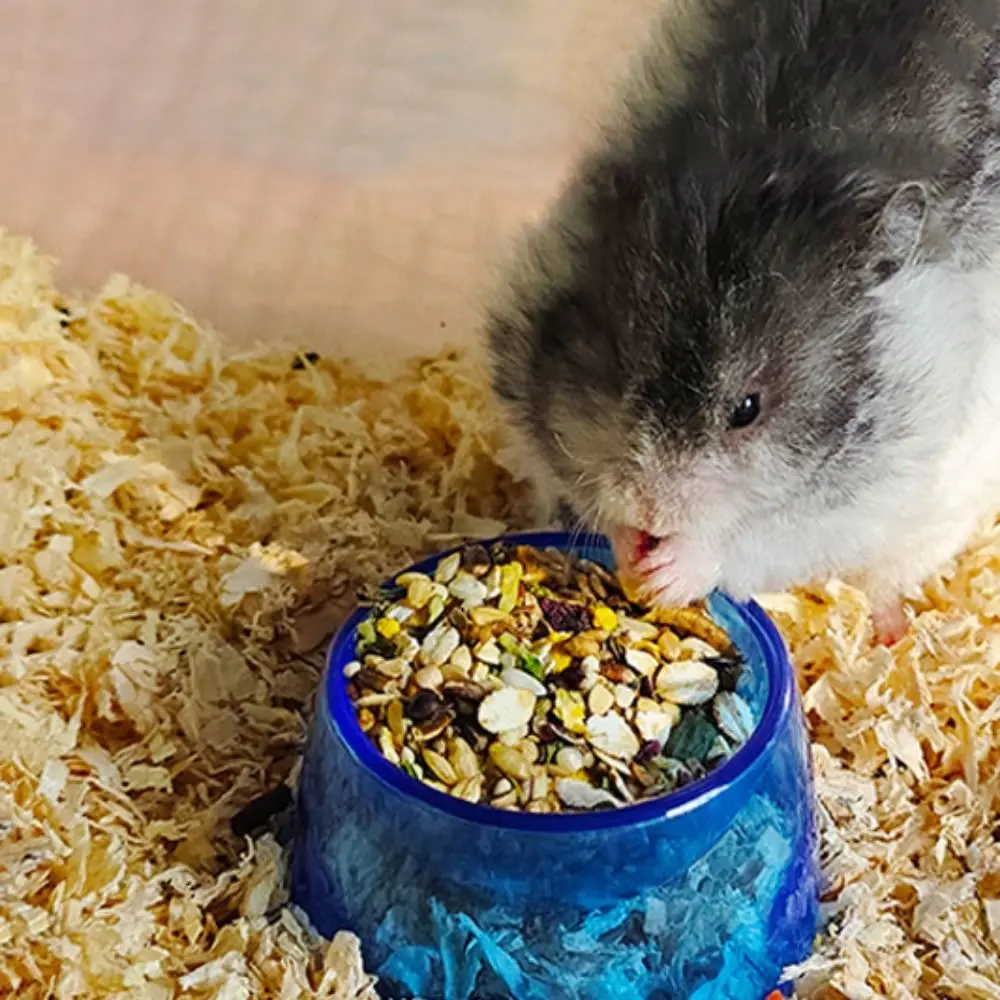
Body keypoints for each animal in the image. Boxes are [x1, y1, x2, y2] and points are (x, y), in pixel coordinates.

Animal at [486, 0, 1000, 644]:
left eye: (747, 409)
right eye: (627, 382)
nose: (653, 509)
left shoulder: (877, 486)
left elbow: (768, 536)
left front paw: (669, 571)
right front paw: (631, 546)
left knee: (882, 583)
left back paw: (892, 631)